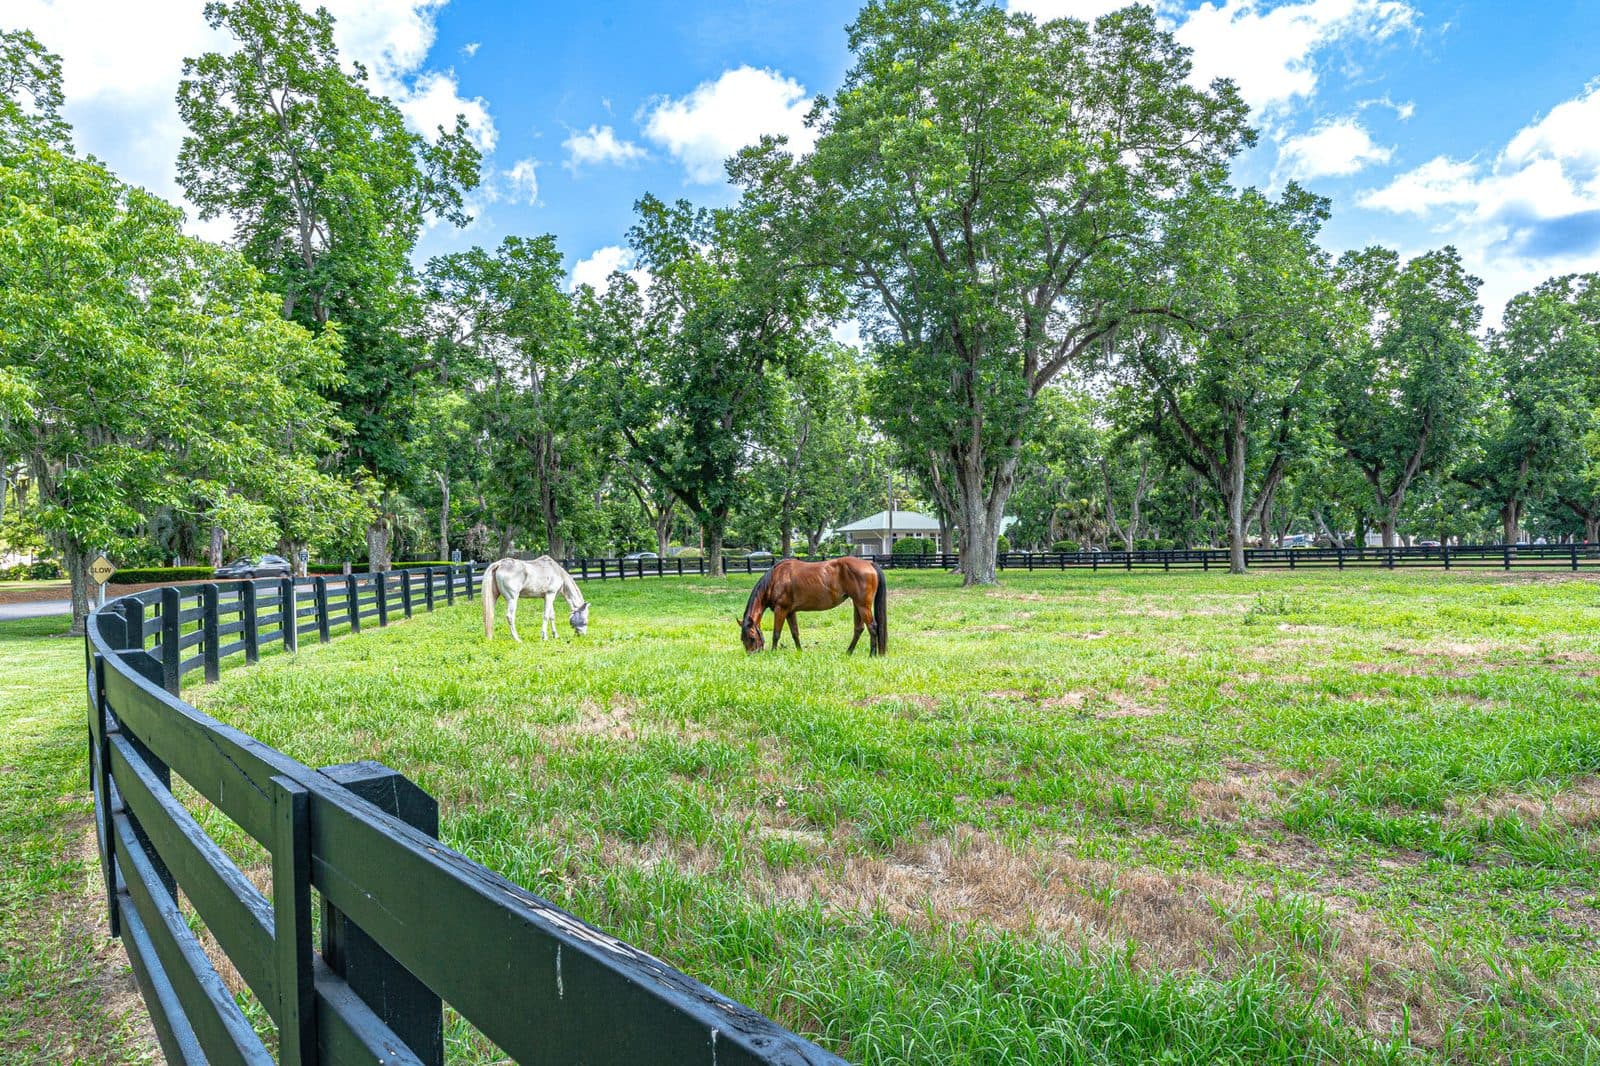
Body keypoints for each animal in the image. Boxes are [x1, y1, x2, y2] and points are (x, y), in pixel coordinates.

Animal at [739, 557, 886, 656]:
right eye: (742, 639)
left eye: (752, 637)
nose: (752, 655)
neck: (775, 579)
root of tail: (868, 563)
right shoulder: (790, 612)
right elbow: (795, 633)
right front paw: (799, 651)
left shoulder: (781, 610)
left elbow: (776, 633)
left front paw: (773, 652)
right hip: (857, 605)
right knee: (859, 629)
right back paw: (848, 652)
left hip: (863, 605)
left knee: (872, 627)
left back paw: (872, 654)